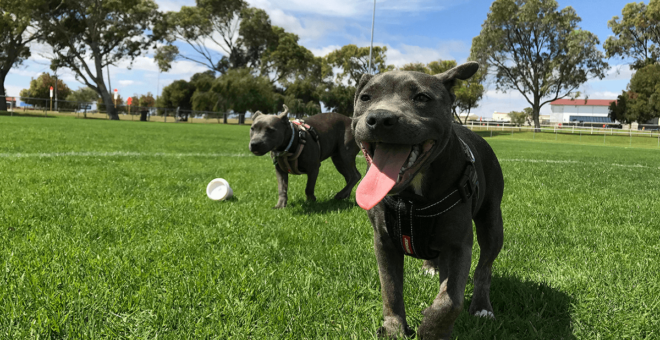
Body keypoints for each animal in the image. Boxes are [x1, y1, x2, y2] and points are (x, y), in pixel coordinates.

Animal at [354, 62, 502, 338]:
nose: (379, 118)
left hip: (492, 224)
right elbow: (390, 290)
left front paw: (432, 329)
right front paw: (394, 328)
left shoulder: (458, 246)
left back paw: (481, 306)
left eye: (422, 98)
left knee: (484, 268)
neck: (412, 199)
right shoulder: (384, 242)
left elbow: (450, 301)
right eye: (365, 98)